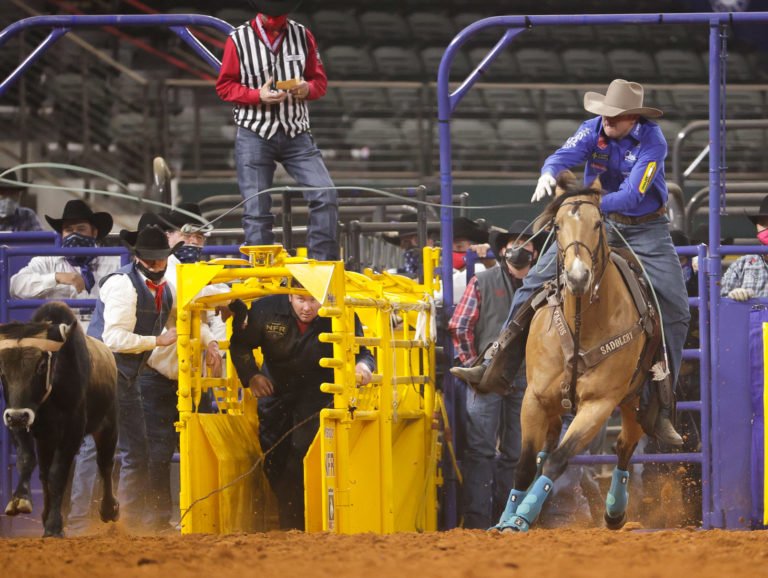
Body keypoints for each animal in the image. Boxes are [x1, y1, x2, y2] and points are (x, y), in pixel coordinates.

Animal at [498, 171, 660, 532]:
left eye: (598, 223)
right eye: (556, 226)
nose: (577, 276)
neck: (581, 324)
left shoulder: (599, 405)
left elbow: (559, 460)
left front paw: (523, 515)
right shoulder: (534, 397)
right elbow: (526, 464)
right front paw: (508, 519)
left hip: (636, 401)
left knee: (624, 446)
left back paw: (614, 511)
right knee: (547, 449)